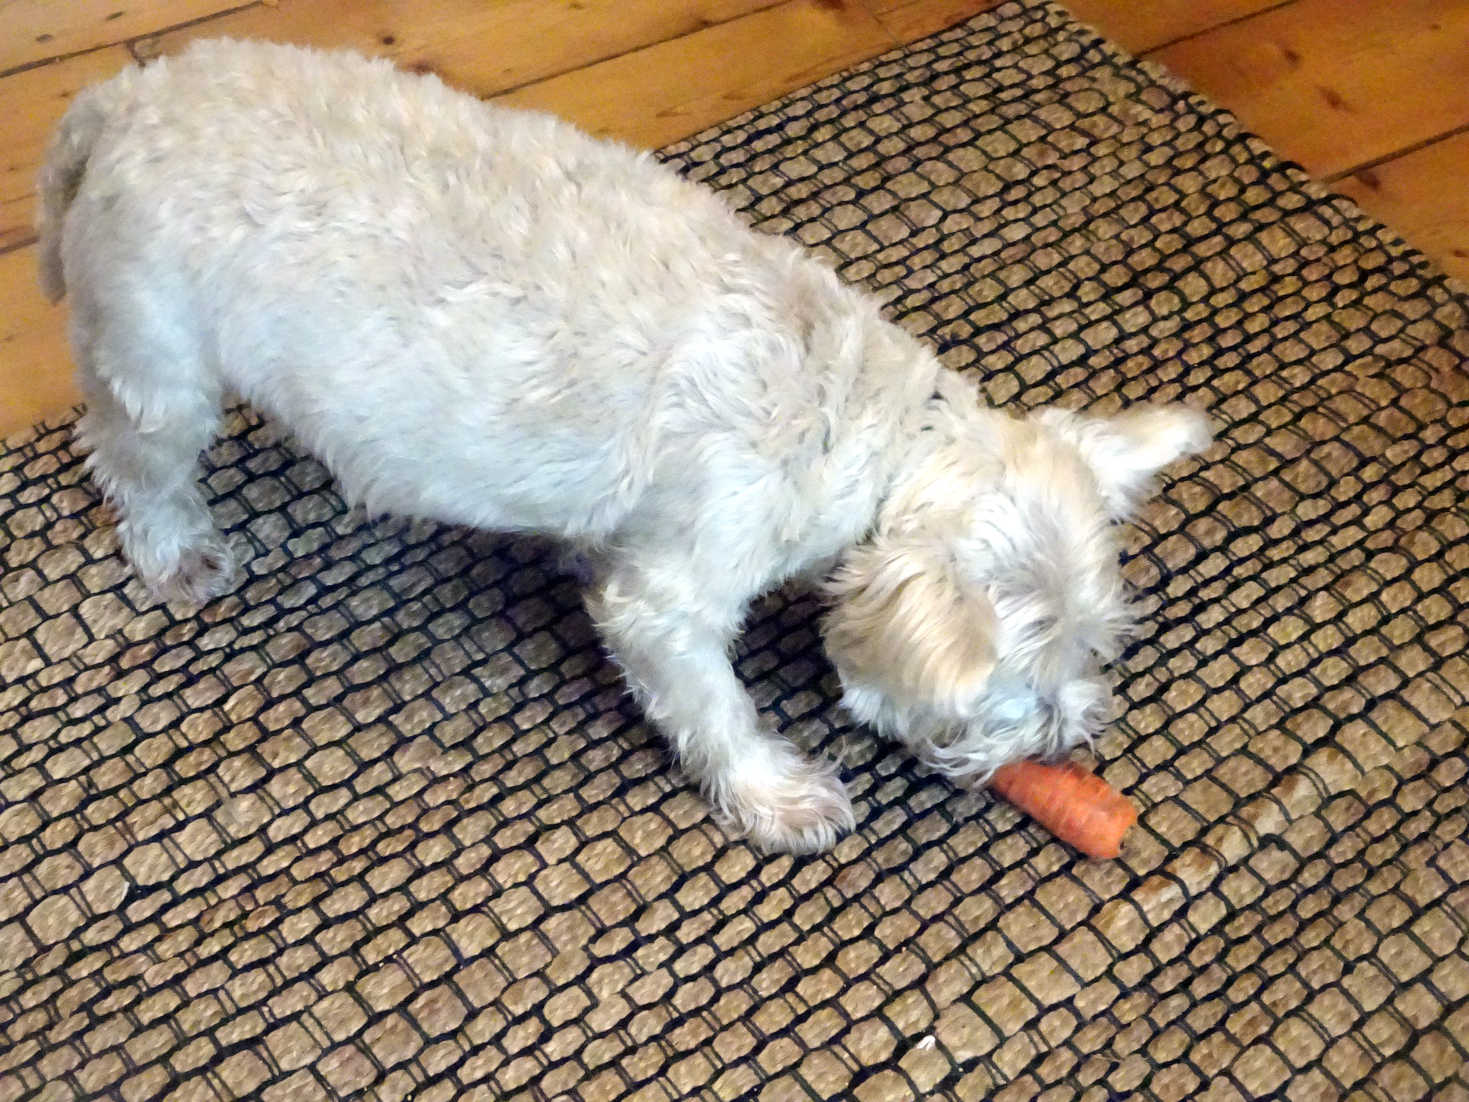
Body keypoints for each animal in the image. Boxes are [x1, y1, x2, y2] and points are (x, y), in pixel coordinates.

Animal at [37, 40, 1216, 852]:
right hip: (160, 362)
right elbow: (710, 699)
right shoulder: (678, 588)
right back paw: (175, 550)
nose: (1065, 743)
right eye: (1012, 681)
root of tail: (125, 99)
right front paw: (776, 794)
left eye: (1095, 645)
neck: (864, 424)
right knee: (134, 458)